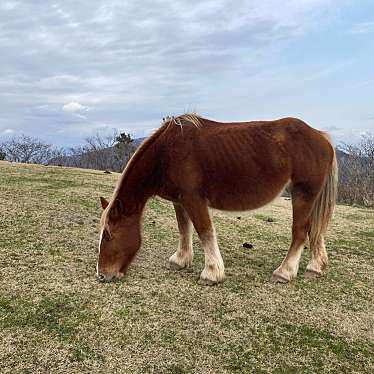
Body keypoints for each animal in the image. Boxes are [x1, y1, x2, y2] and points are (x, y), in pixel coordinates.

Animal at [95, 113, 338, 284]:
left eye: (107, 235)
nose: (102, 275)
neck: (166, 154)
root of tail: (322, 138)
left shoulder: (194, 199)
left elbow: (204, 231)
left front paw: (211, 273)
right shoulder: (179, 201)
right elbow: (184, 229)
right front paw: (181, 260)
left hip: (302, 194)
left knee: (301, 232)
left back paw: (284, 272)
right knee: (315, 230)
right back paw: (315, 267)